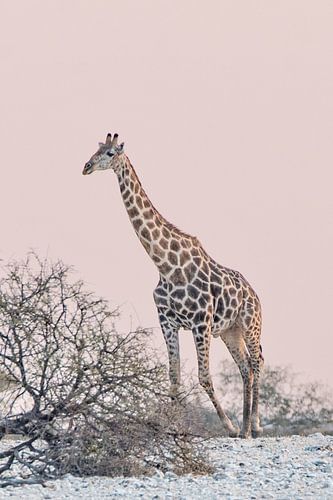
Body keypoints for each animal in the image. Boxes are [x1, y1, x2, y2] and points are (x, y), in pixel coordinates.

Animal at [82, 133, 262, 438]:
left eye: (109, 153)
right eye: (96, 149)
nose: (86, 166)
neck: (166, 265)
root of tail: (255, 293)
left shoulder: (201, 322)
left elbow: (204, 377)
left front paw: (228, 426)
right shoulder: (167, 321)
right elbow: (174, 378)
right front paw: (173, 429)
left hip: (250, 325)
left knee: (258, 362)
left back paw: (255, 426)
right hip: (230, 332)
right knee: (246, 367)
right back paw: (246, 428)